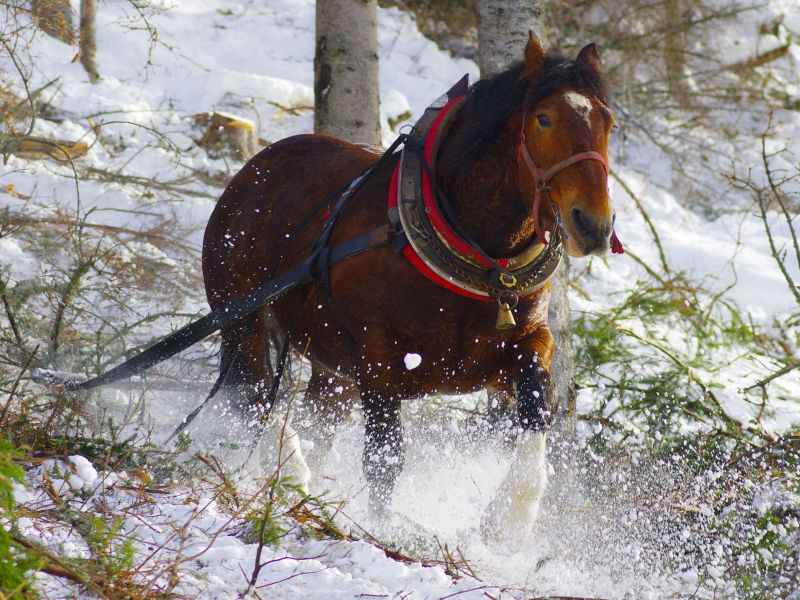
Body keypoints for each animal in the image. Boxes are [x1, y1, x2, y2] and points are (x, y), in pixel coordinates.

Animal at [203, 34, 616, 540]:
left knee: (311, 416)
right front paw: (381, 533)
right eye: (544, 118)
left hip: (333, 371)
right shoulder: (379, 360)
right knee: (254, 397)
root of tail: (254, 168)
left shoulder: (525, 343)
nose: (593, 225)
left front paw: (510, 520)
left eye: (608, 122)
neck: (481, 258)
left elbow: (535, 407)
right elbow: (386, 460)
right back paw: (290, 470)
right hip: (241, 320)